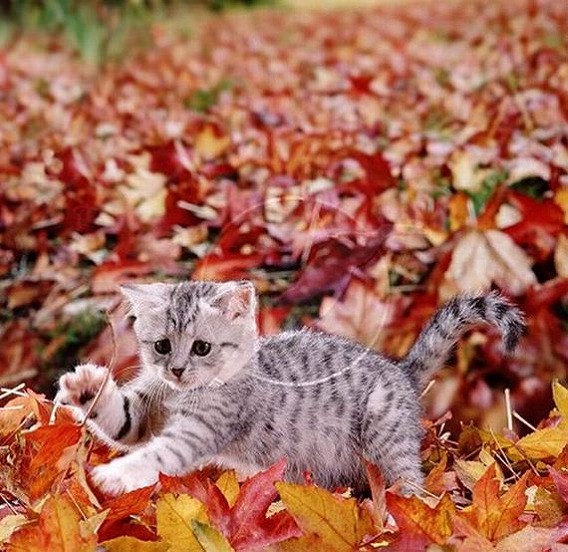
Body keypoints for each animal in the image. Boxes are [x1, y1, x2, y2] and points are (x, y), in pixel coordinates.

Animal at [55, 280, 524, 496]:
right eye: (162, 345)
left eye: (202, 347)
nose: (177, 369)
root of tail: (400, 372)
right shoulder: (146, 409)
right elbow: (123, 422)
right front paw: (86, 387)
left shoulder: (203, 428)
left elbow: (159, 454)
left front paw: (117, 475)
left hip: (385, 439)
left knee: (411, 483)